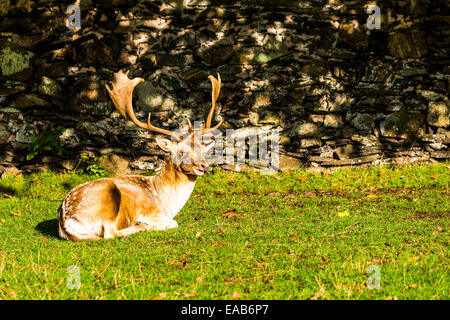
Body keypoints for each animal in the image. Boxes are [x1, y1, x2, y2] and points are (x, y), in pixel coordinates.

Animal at [58, 70, 223, 240]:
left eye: (202, 150)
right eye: (182, 151)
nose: (204, 166)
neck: (167, 203)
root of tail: (66, 221)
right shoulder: (152, 212)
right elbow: (173, 223)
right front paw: (146, 223)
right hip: (106, 201)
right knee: (110, 233)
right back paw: (140, 226)